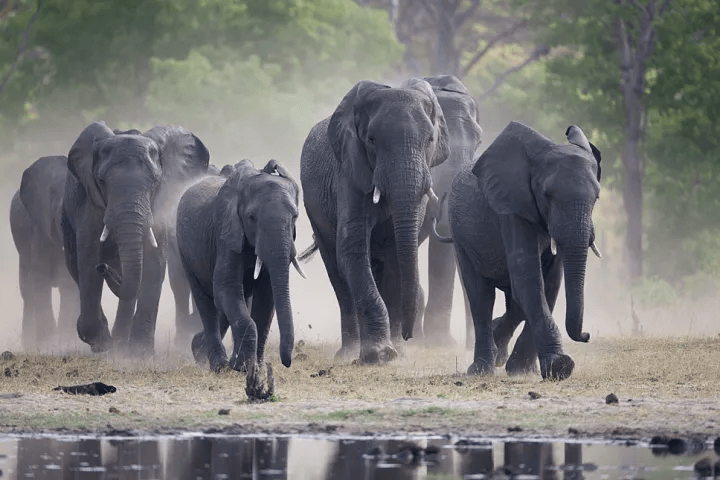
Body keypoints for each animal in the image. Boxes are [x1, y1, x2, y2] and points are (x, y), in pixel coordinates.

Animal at [9, 155, 80, 350]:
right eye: (58, 220)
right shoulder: (38, 229)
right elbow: (39, 281)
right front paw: (48, 343)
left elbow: (67, 282)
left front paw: (63, 342)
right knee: (27, 292)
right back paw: (29, 344)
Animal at [61, 122, 210, 354]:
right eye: (101, 181)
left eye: (155, 182)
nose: (104, 267)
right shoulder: (89, 202)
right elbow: (88, 257)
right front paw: (102, 345)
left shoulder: (159, 204)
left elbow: (154, 262)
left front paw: (140, 353)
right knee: (75, 266)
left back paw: (121, 343)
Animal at [177, 159, 304, 372]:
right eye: (251, 218)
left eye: (295, 216)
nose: (287, 362)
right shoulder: (226, 233)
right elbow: (225, 289)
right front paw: (243, 367)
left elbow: (265, 298)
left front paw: (252, 367)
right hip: (185, 252)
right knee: (206, 302)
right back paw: (218, 364)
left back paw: (200, 350)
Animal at [299, 78, 450, 363]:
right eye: (371, 140)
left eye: (430, 140)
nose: (409, 336)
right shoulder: (349, 171)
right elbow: (352, 249)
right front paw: (379, 355)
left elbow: (396, 256)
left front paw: (398, 354)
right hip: (314, 211)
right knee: (337, 272)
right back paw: (348, 354)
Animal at [436, 121, 601, 380]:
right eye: (547, 195)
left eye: (596, 198)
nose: (586, 335)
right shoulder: (510, 209)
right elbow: (530, 281)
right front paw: (559, 367)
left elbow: (549, 284)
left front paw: (522, 370)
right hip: (460, 233)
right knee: (480, 294)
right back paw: (481, 369)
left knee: (512, 298)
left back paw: (500, 353)